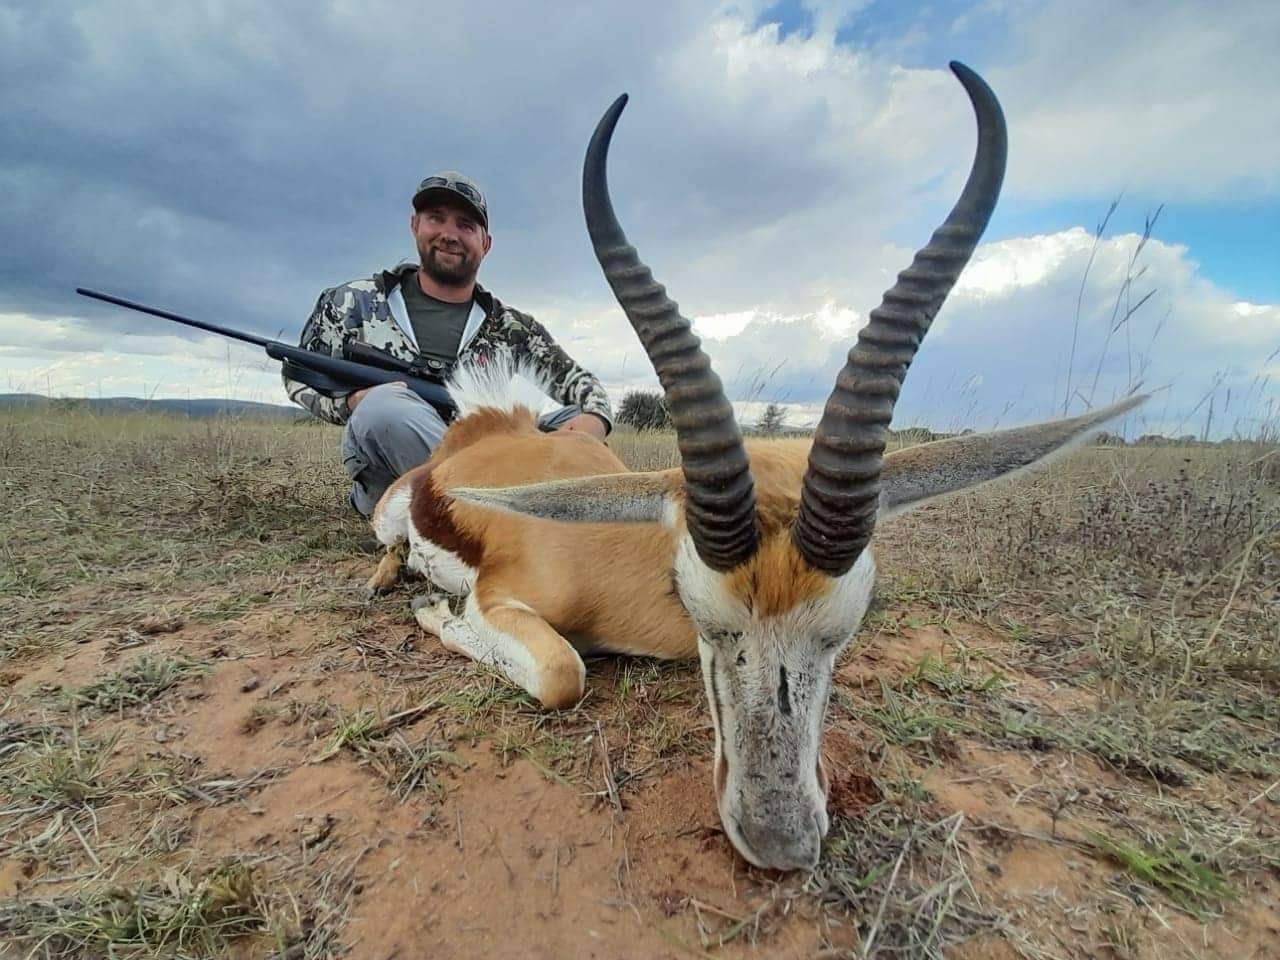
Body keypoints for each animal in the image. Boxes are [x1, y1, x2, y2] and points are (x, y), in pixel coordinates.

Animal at [367, 63, 1145, 871]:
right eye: (705, 617)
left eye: (843, 628)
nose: (781, 840)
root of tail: (488, 423)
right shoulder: (509, 602)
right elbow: (562, 675)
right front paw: (434, 609)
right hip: (389, 512)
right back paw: (391, 580)